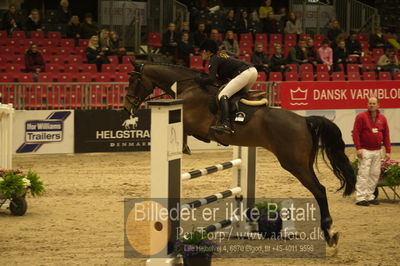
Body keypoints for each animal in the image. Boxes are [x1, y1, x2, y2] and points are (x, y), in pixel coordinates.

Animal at [125, 62, 356, 247]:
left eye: (133, 81)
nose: (127, 106)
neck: (188, 87)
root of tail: (304, 120)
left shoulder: (192, 123)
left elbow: (184, 133)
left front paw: (184, 147)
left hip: (294, 164)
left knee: (319, 190)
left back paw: (329, 232)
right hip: (303, 163)